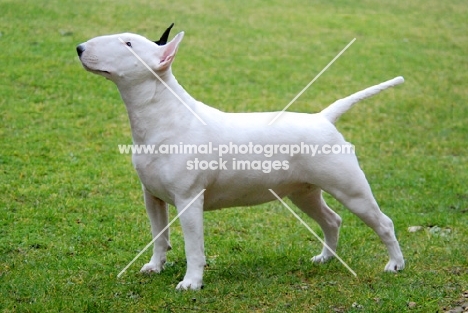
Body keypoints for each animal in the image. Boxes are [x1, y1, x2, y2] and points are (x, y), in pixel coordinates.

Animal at [77, 24, 406, 290]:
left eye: (128, 43)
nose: (79, 48)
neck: (163, 116)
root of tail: (323, 118)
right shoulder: (152, 196)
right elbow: (159, 236)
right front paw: (154, 267)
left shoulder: (189, 199)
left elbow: (193, 247)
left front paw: (191, 283)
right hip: (303, 192)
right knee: (332, 221)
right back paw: (325, 258)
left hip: (350, 188)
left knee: (383, 223)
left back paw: (395, 264)